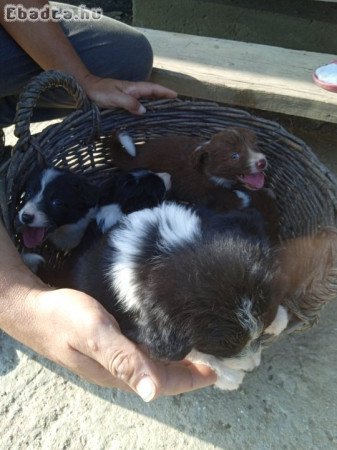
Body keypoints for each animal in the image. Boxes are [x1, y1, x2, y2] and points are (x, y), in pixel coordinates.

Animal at [51, 203, 288, 390]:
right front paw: (228, 376)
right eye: (226, 345)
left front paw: (278, 317)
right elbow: (189, 352)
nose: (254, 365)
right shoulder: (148, 329)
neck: (169, 251)